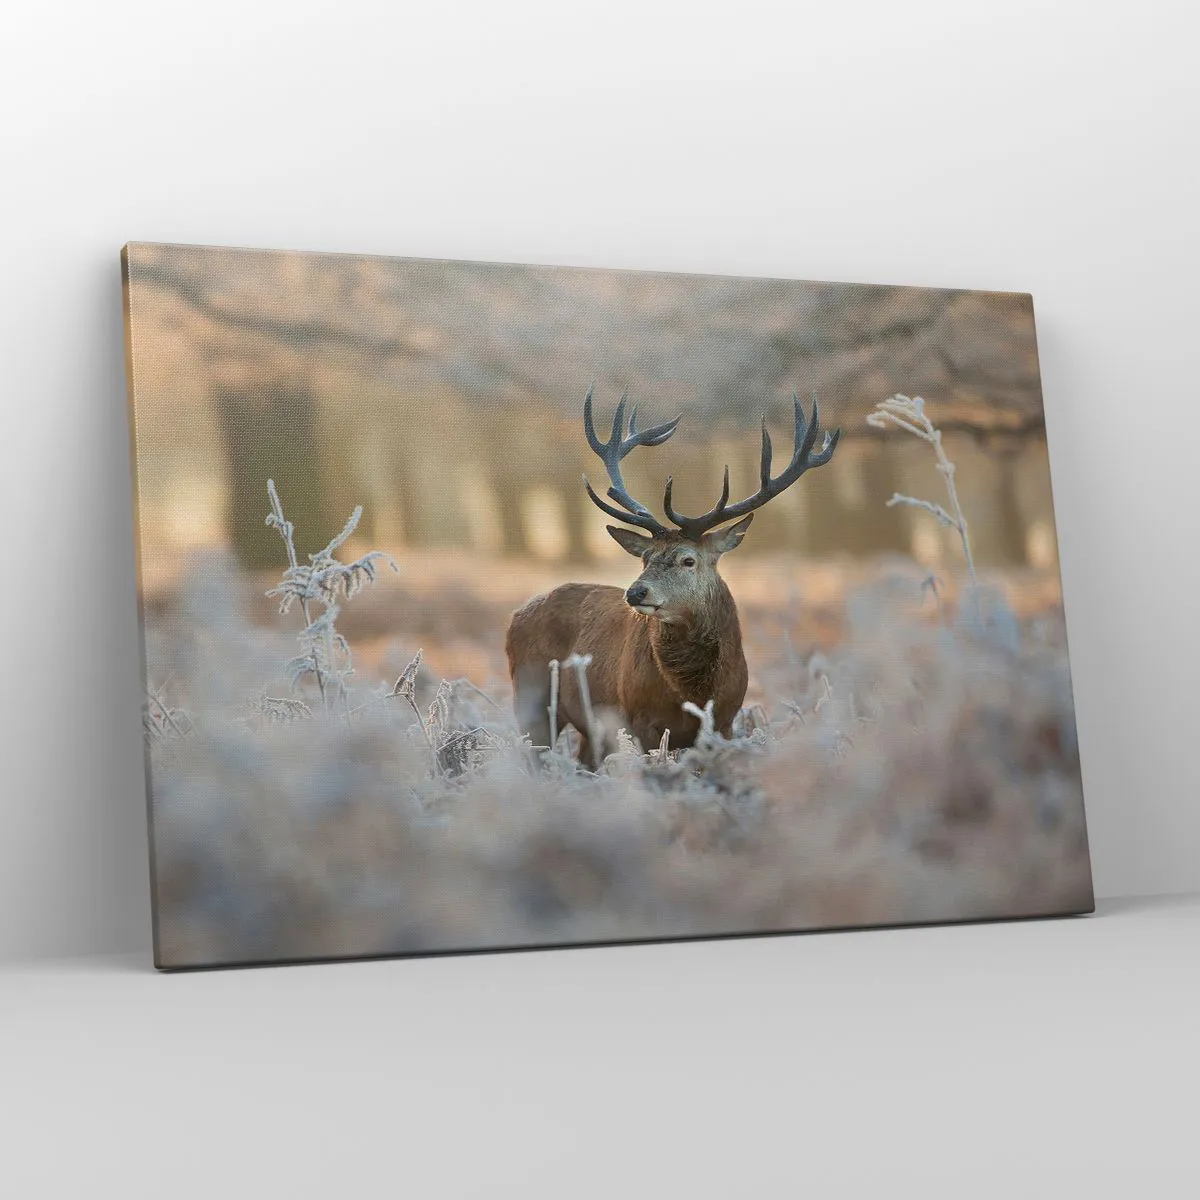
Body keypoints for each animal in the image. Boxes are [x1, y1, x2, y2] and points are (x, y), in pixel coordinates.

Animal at [506, 386, 841, 769]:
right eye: (645, 557)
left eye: (688, 560)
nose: (636, 593)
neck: (693, 692)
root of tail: (516, 615)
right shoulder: (640, 719)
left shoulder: (726, 720)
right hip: (530, 696)